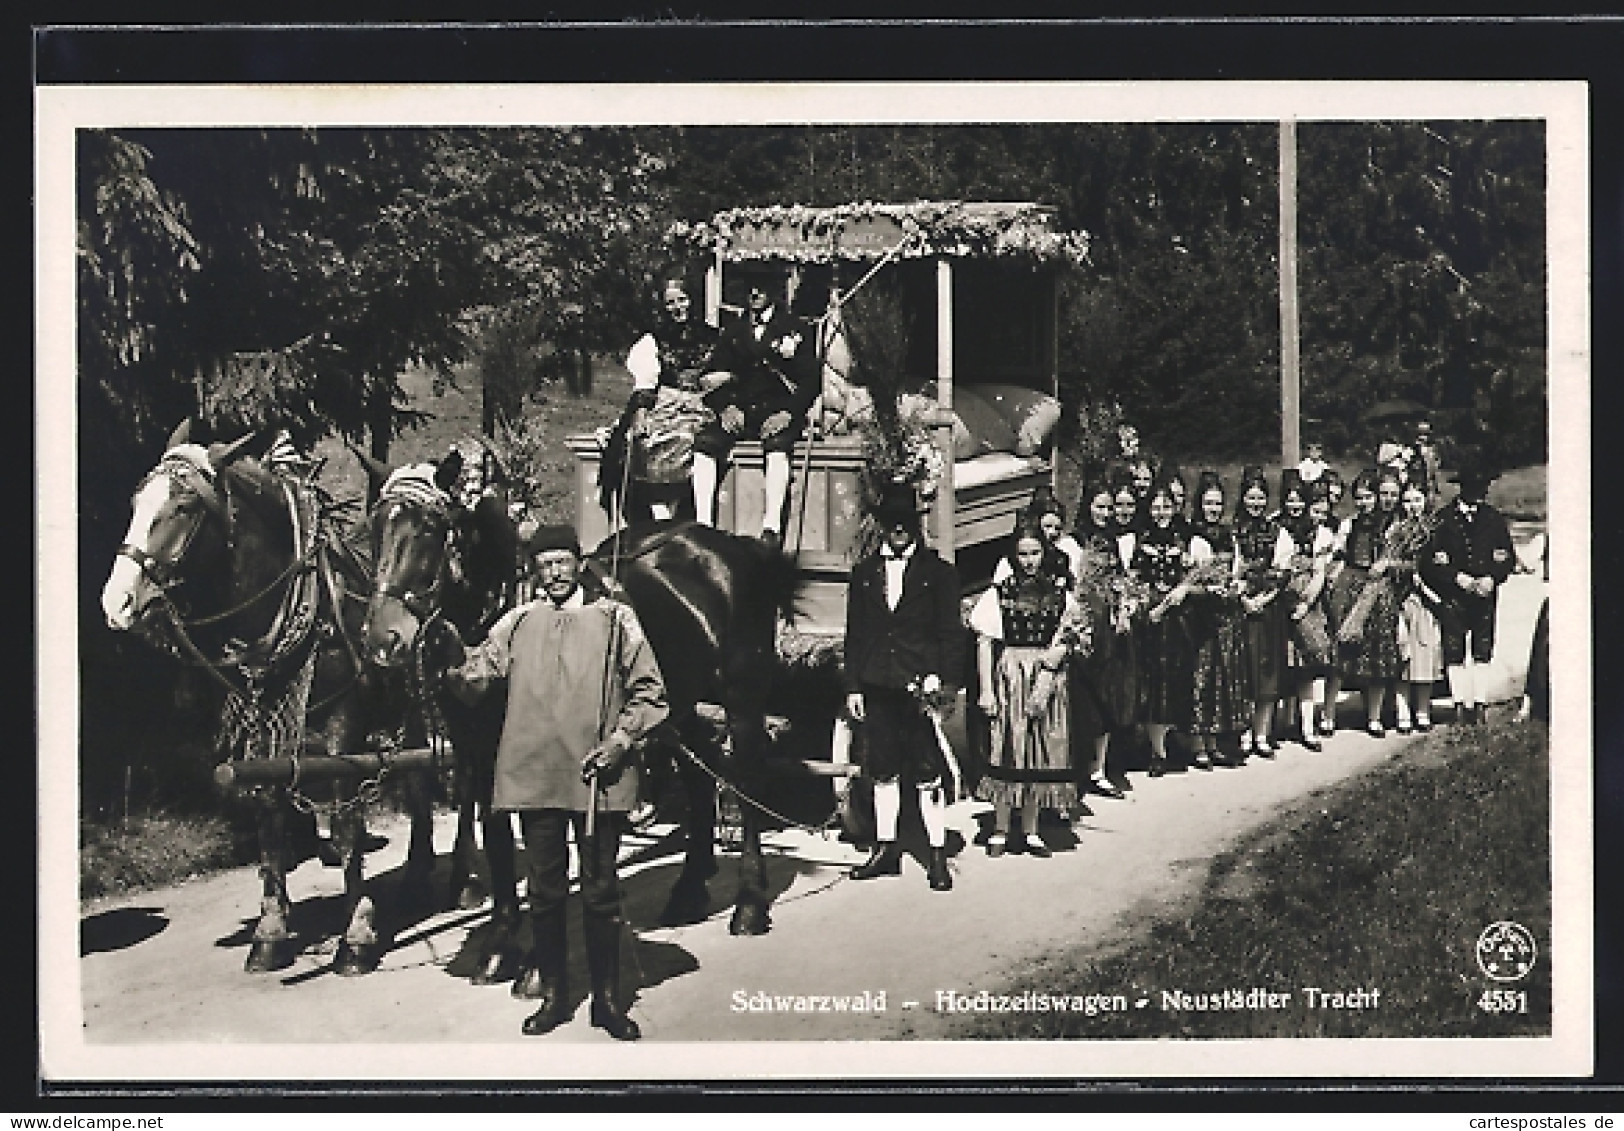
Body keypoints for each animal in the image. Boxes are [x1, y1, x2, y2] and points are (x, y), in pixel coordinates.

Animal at [104, 422, 441, 975]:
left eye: (184, 507)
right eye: (135, 501)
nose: (117, 602)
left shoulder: (343, 726)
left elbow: (346, 823)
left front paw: (357, 934)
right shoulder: (264, 723)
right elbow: (269, 813)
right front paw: (270, 932)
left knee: (430, 779)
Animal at [362, 451, 805, 942]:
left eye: (429, 529)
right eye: (374, 528)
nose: (383, 641)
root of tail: (730, 545)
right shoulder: (475, 748)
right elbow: (496, 833)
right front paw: (503, 934)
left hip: (742, 692)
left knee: (746, 779)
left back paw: (749, 904)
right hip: (675, 702)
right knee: (699, 774)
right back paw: (688, 891)